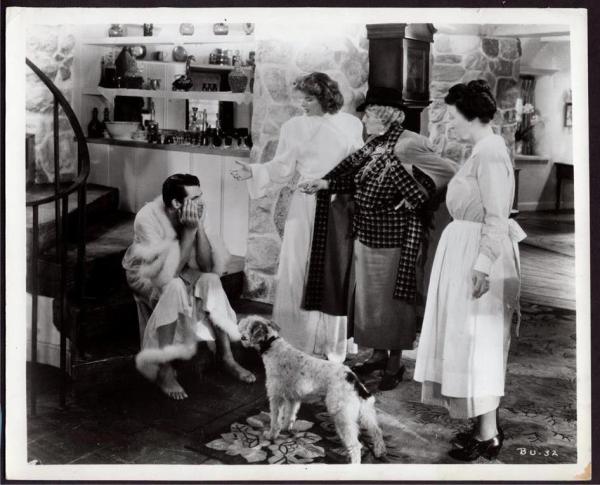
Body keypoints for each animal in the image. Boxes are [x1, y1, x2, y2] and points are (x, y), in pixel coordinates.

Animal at [239, 315, 386, 464]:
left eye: (249, 328)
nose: (242, 338)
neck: (271, 344)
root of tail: (352, 377)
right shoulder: (292, 398)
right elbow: (289, 415)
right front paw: (286, 428)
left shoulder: (276, 397)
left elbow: (275, 420)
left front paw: (271, 435)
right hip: (365, 412)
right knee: (377, 431)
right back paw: (379, 451)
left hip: (342, 416)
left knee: (356, 445)